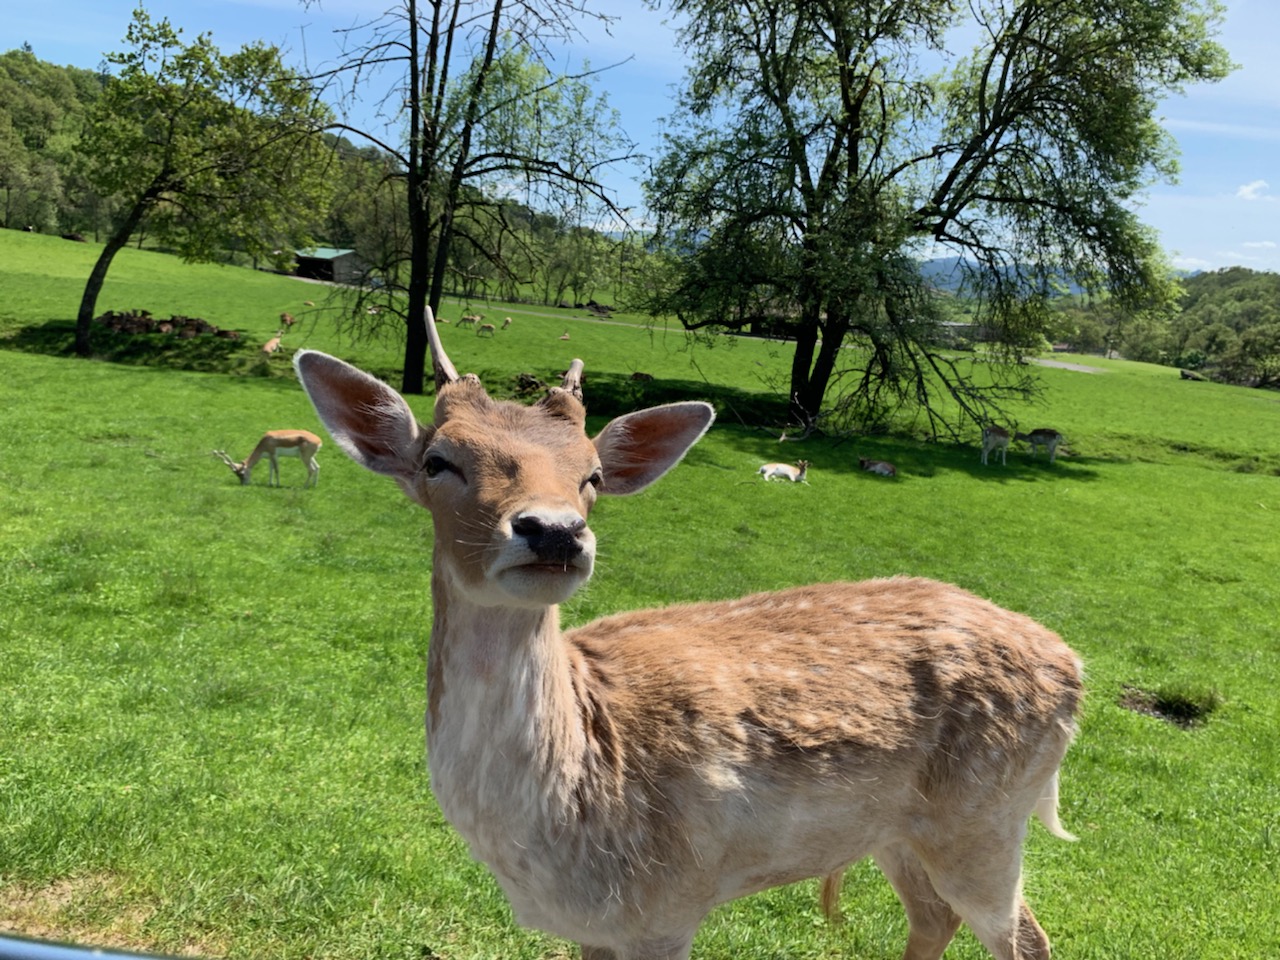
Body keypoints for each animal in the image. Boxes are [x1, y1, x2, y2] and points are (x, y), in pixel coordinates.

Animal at [291, 307, 1082, 960]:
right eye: (438, 461)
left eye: (593, 475)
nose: (554, 530)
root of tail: (1075, 667)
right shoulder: (599, 927)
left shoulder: (667, 905)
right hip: (900, 830)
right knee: (933, 917)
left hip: (985, 818)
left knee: (1025, 936)